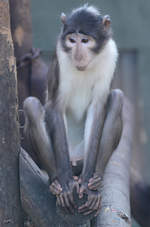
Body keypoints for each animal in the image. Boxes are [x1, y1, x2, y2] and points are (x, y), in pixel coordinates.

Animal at [23, 5, 123, 217]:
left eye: (85, 41)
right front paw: (66, 184)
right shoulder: (61, 54)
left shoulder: (111, 54)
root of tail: (75, 159)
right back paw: (56, 181)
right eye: (72, 40)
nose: (77, 54)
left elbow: (98, 107)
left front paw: (89, 186)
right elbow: (55, 106)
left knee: (118, 97)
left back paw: (96, 179)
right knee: (31, 105)